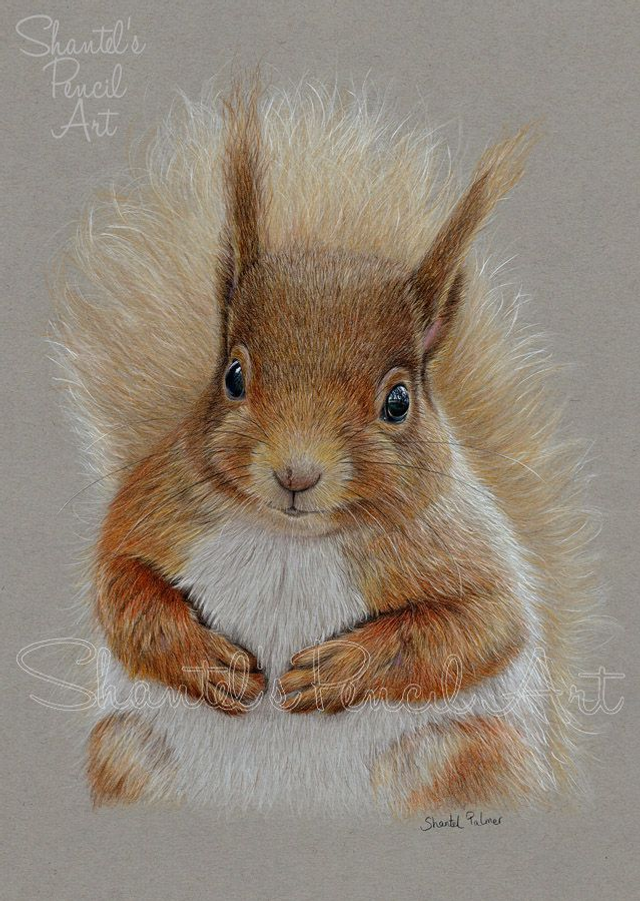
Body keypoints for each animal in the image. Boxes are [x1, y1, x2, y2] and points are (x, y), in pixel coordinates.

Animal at [52, 78, 599, 814]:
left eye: (398, 402)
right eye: (233, 375)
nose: (296, 473)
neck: (293, 539)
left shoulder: (465, 547)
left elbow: (481, 625)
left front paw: (338, 669)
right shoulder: (155, 506)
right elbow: (119, 586)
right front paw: (208, 661)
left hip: (475, 759)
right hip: (122, 756)